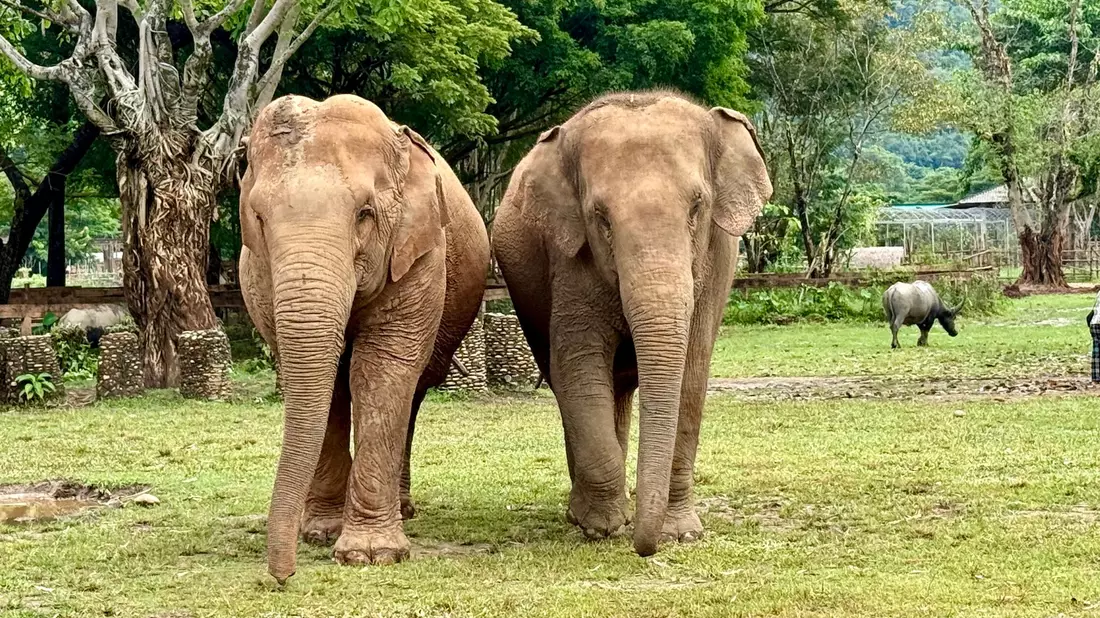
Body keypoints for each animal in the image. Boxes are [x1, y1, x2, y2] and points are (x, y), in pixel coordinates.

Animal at [239, 94, 490, 582]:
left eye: (364, 214)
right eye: (258, 217)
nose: (282, 577)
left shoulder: (420, 255)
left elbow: (380, 371)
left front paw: (371, 555)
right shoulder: (259, 275)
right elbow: (324, 383)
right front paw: (320, 533)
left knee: (413, 392)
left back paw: (404, 509)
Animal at [491, 91, 772, 556]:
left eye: (697, 206)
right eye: (601, 218)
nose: (645, 548)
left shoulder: (717, 261)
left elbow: (692, 375)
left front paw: (681, 533)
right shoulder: (569, 260)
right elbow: (577, 368)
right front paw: (602, 527)